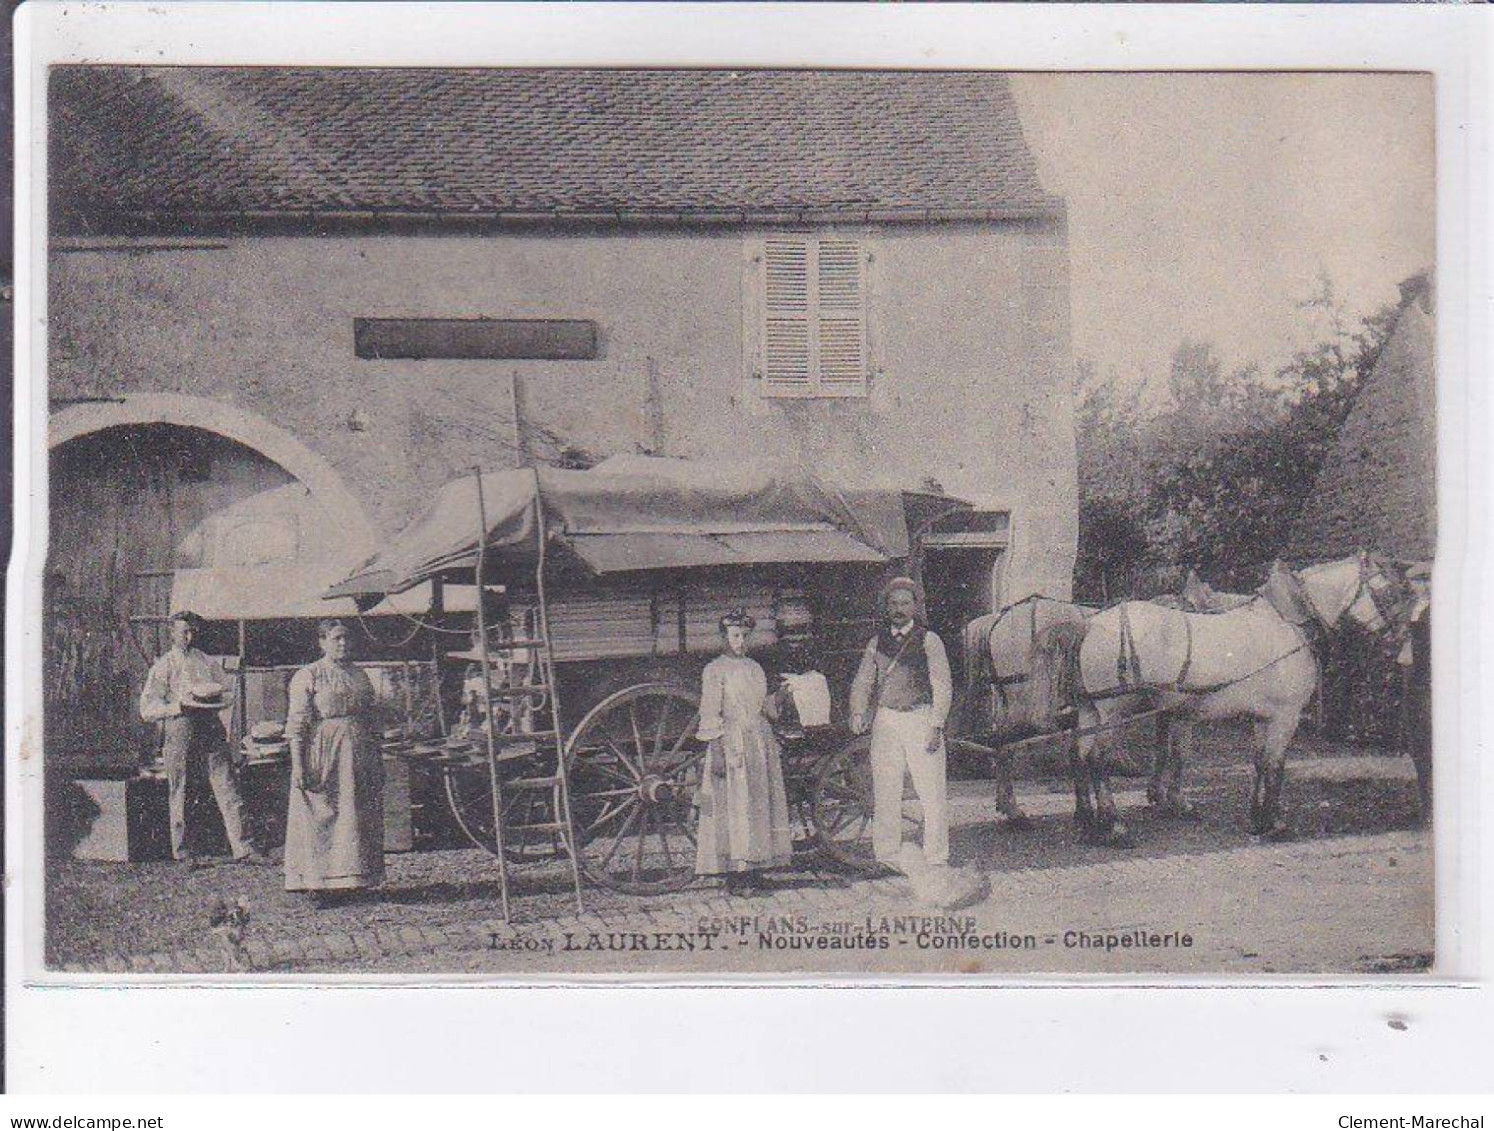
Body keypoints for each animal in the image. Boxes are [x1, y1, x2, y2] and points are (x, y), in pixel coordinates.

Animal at [1051, 552, 1410, 842]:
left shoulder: (1263, 717)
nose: (1404, 644)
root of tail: (1090, 623)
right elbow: (1276, 766)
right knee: (1097, 759)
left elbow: (1259, 762)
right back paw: (1114, 826)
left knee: (1079, 756)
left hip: (1090, 710)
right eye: (1389, 591)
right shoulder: (1286, 716)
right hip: (1112, 711)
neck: (1287, 621)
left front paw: (1257, 819)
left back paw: (1088, 822)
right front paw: (1276, 823)